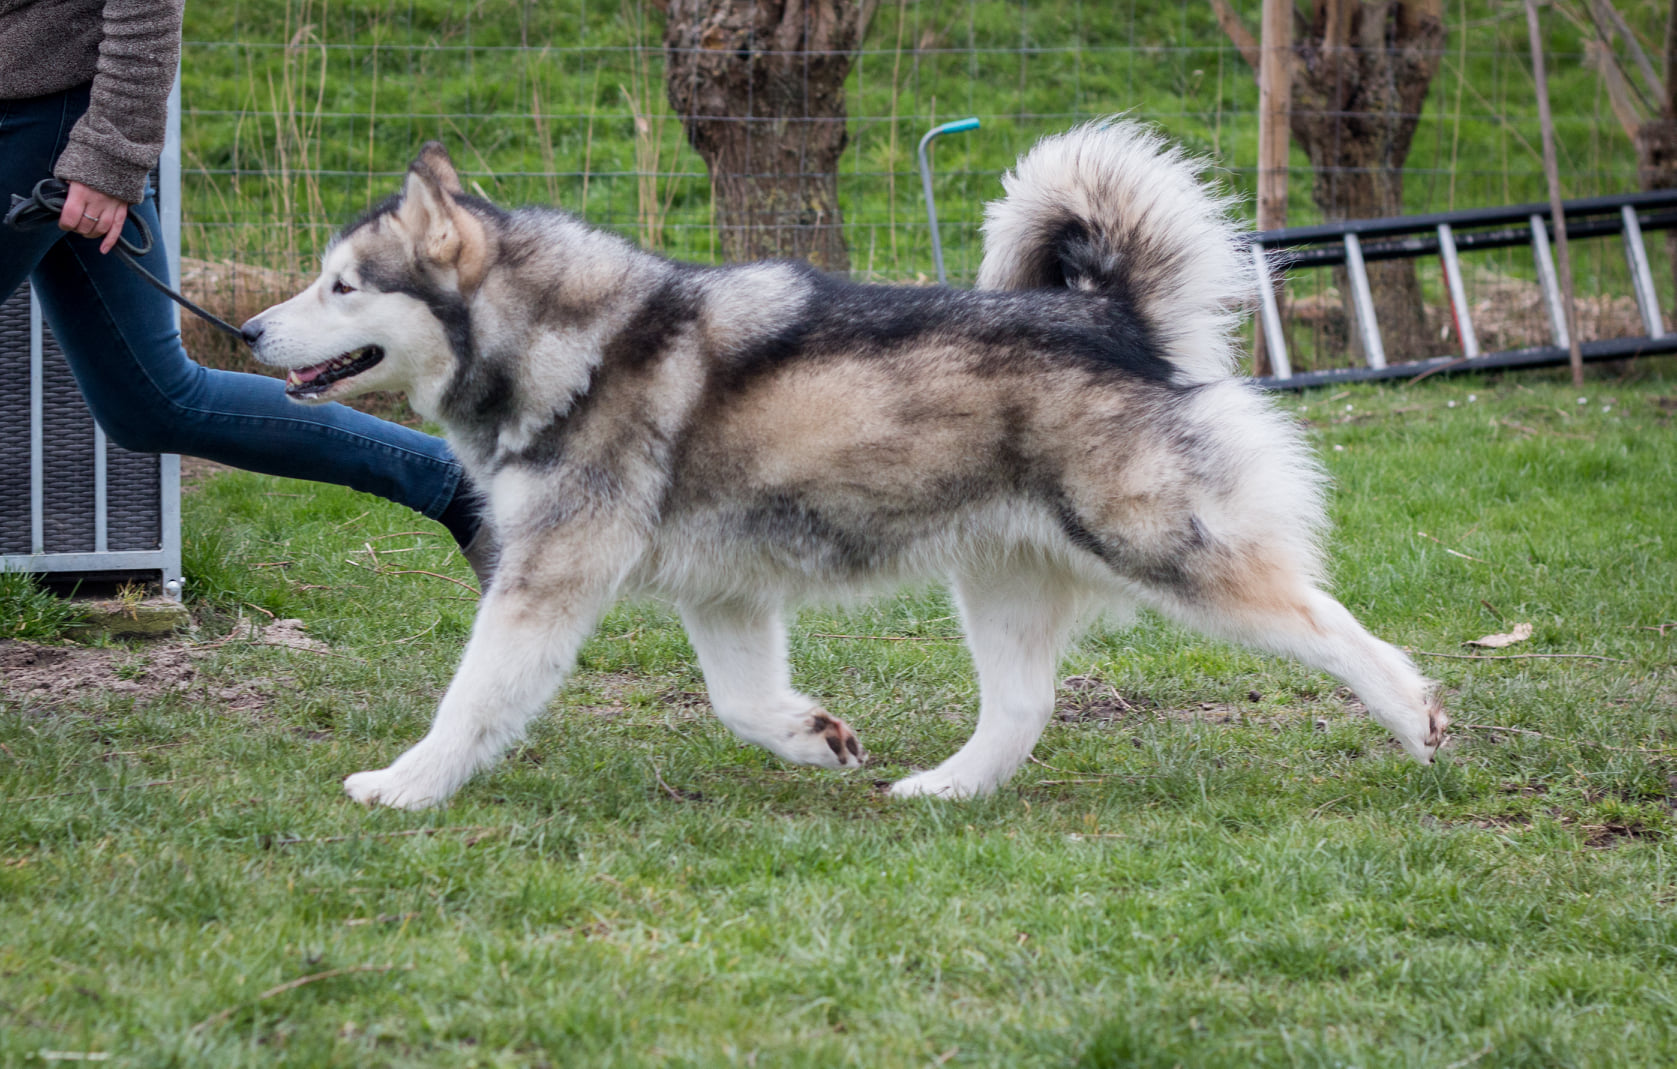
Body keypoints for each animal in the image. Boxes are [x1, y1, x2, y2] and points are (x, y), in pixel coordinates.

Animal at [243, 123, 1448, 808]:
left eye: (343, 286)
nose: (249, 330)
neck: (566, 344)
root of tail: (1111, 316)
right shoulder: (721, 592)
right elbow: (739, 703)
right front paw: (813, 740)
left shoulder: (546, 582)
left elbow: (471, 700)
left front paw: (404, 786)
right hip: (1000, 577)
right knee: (1021, 708)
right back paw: (949, 789)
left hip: (1165, 548)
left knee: (1333, 626)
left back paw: (1417, 721)